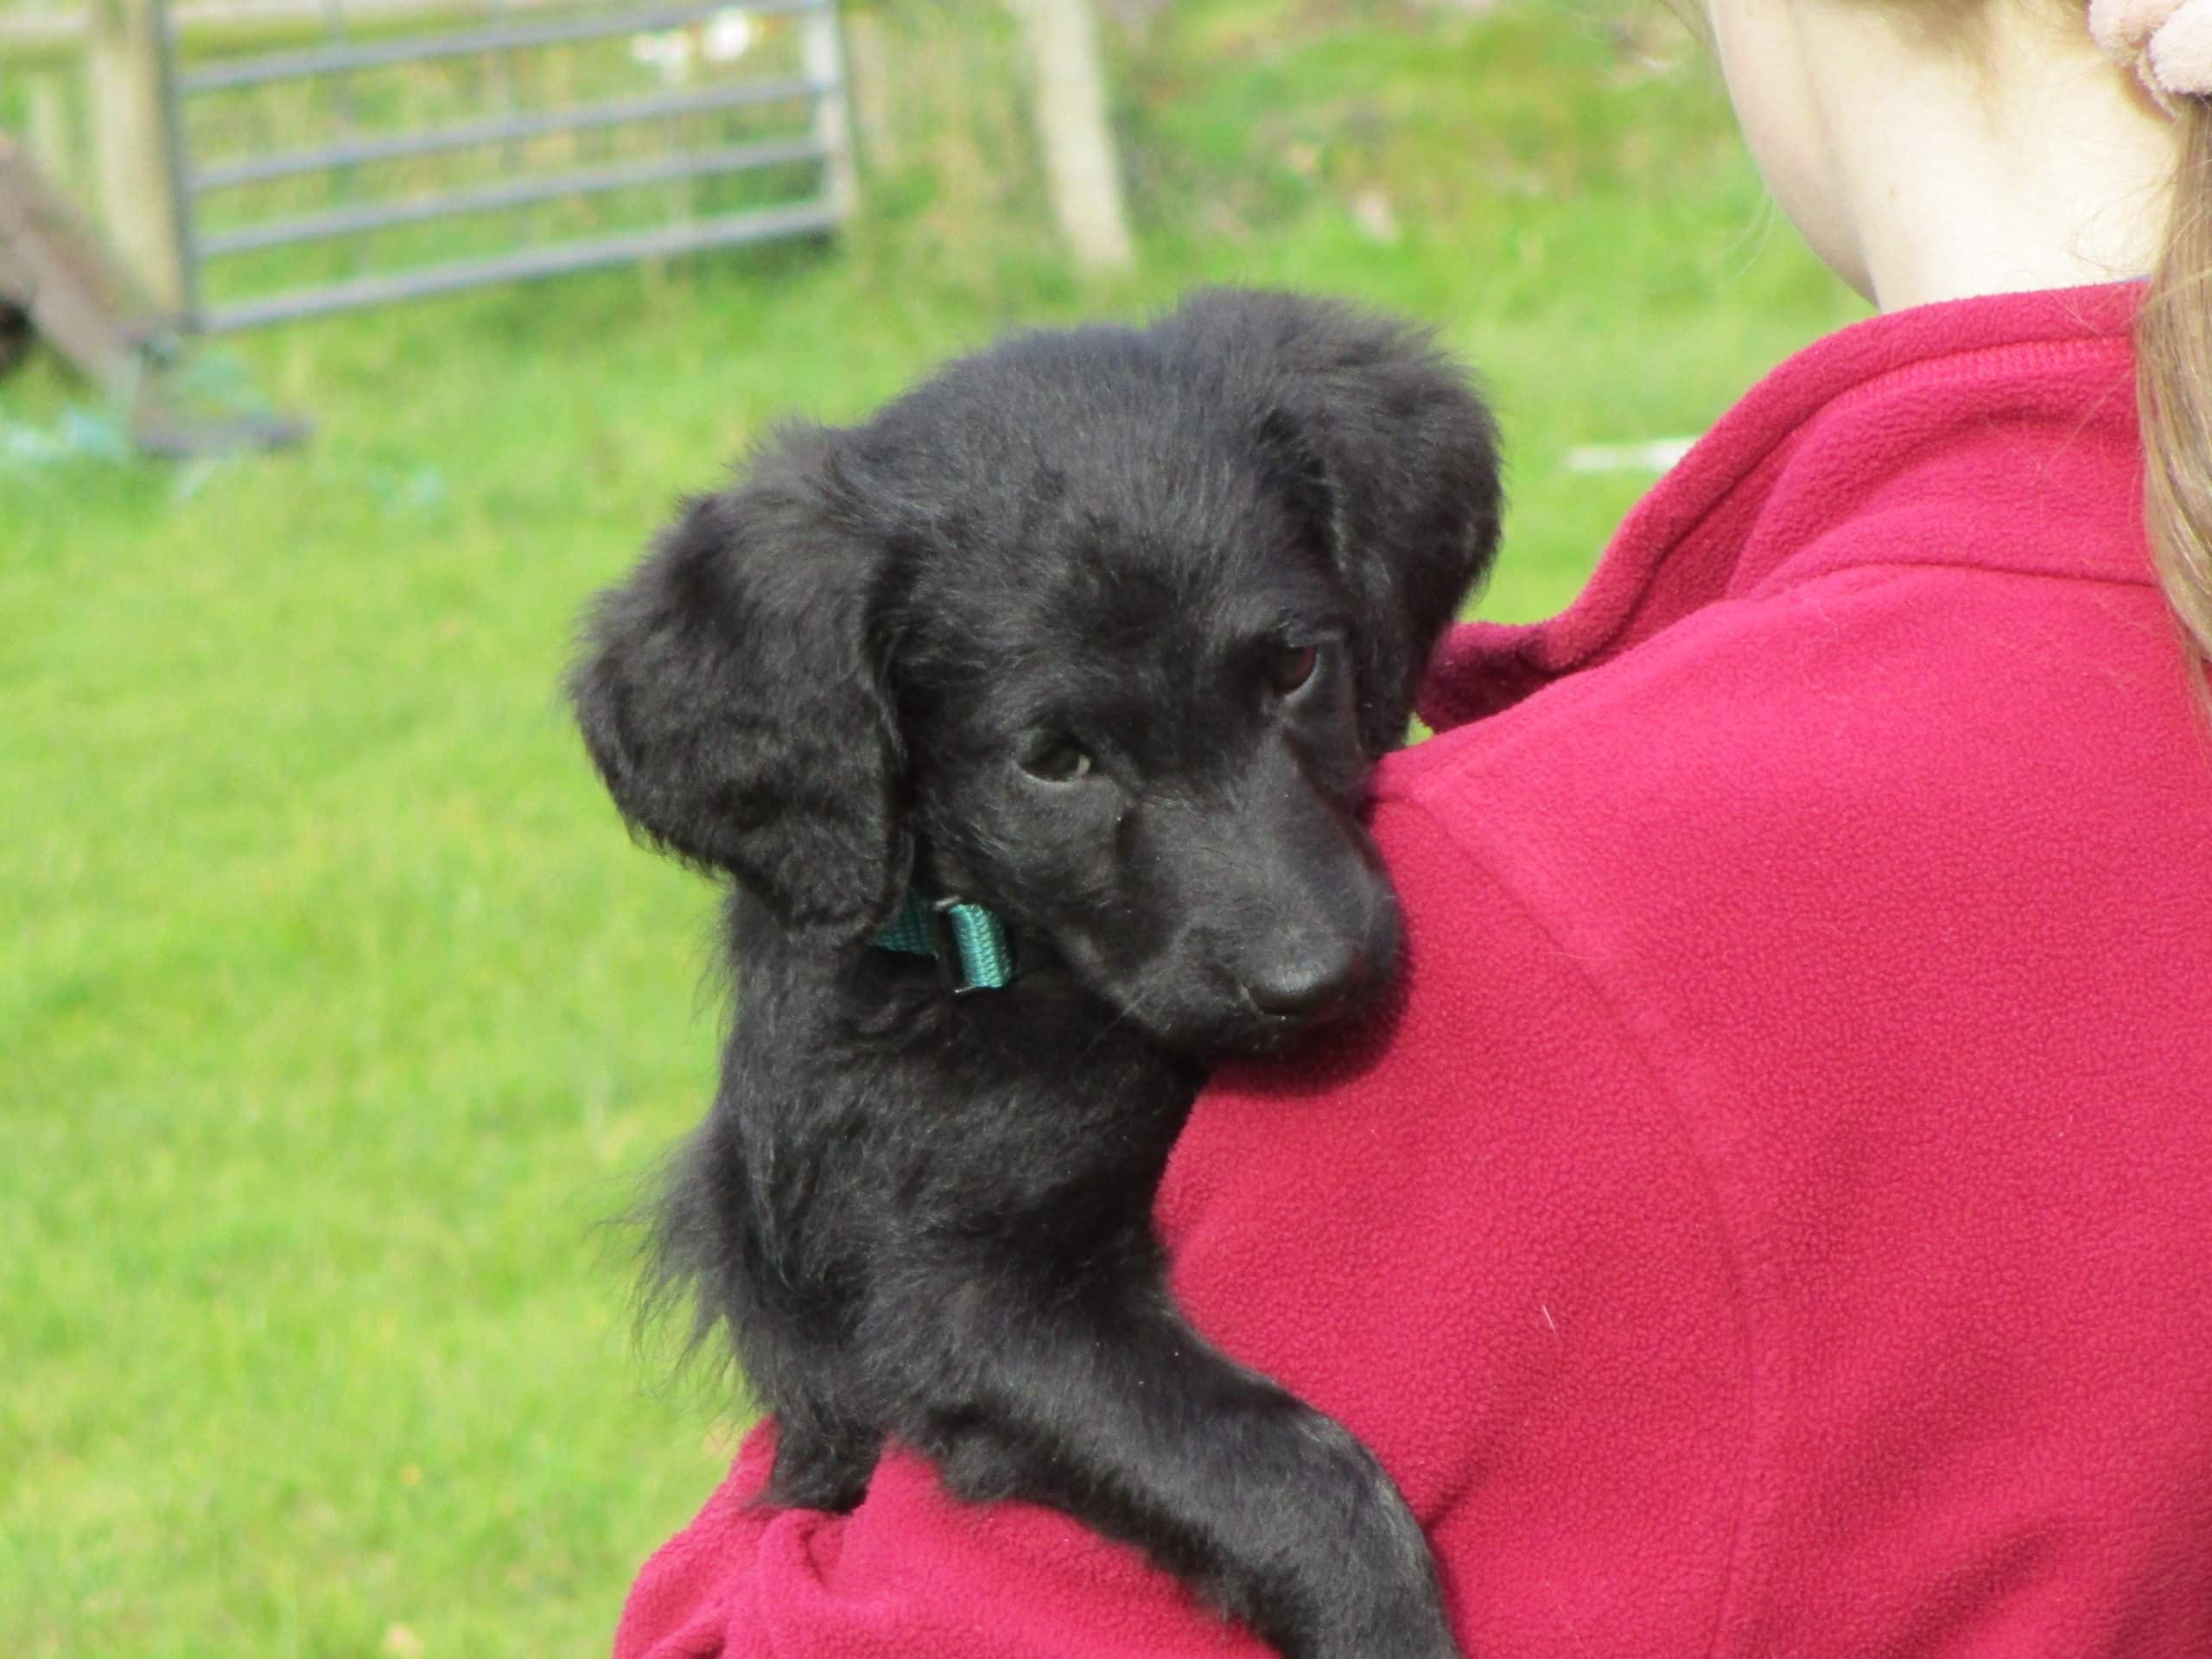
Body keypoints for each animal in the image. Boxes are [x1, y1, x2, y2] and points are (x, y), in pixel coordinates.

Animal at [570, 290, 1501, 1659]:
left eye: (1294, 668)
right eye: (1055, 760)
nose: (1313, 979)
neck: (1002, 959)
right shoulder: (959, 1295)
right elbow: (1274, 1464)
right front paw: (1381, 1619)